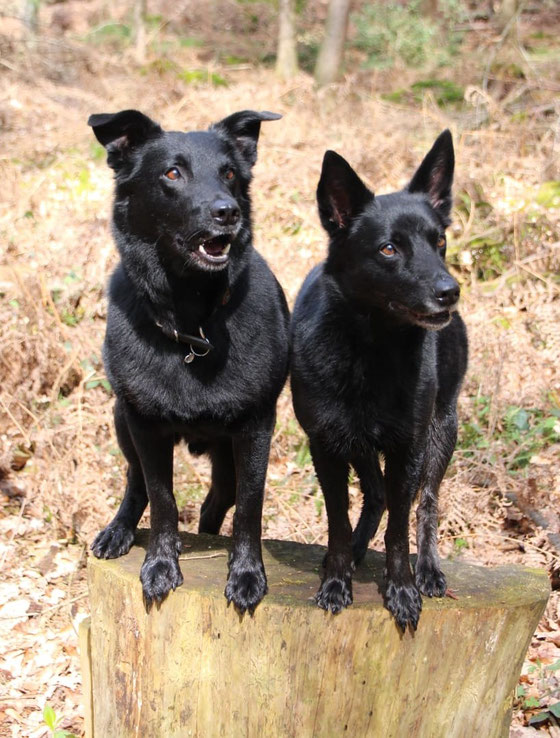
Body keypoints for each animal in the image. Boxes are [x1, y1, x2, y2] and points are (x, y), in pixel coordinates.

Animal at [88, 108, 290, 608]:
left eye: (230, 173)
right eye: (172, 173)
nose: (227, 212)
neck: (192, 328)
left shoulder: (255, 429)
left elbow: (250, 507)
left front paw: (246, 573)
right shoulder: (144, 426)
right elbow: (162, 499)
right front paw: (161, 565)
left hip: (225, 458)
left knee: (218, 503)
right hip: (121, 420)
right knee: (135, 483)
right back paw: (119, 530)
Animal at [290, 131, 466, 628]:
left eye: (440, 241)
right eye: (389, 249)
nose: (450, 292)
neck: (371, 350)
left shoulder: (408, 448)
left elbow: (401, 528)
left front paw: (403, 589)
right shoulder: (328, 445)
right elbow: (337, 522)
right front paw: (336, 580)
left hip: (441, 431)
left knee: (427, 503)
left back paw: (428, 570)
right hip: (360, 443)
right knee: (374, 494)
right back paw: (354, 552)